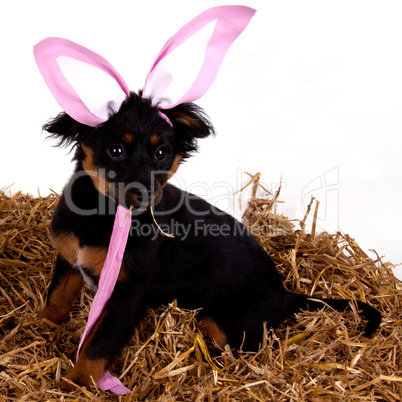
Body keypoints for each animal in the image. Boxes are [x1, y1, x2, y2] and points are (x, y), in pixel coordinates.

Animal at [39, 92, 382, 388]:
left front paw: (76, 384)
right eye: (115, 150)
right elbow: (56, 301)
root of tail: (284, 294)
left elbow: (98, 346)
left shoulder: (127, 294)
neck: (103, 217)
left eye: (161, 153)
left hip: (222, 322)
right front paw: (39, 327)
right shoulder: (70, 260)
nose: (145, 195)